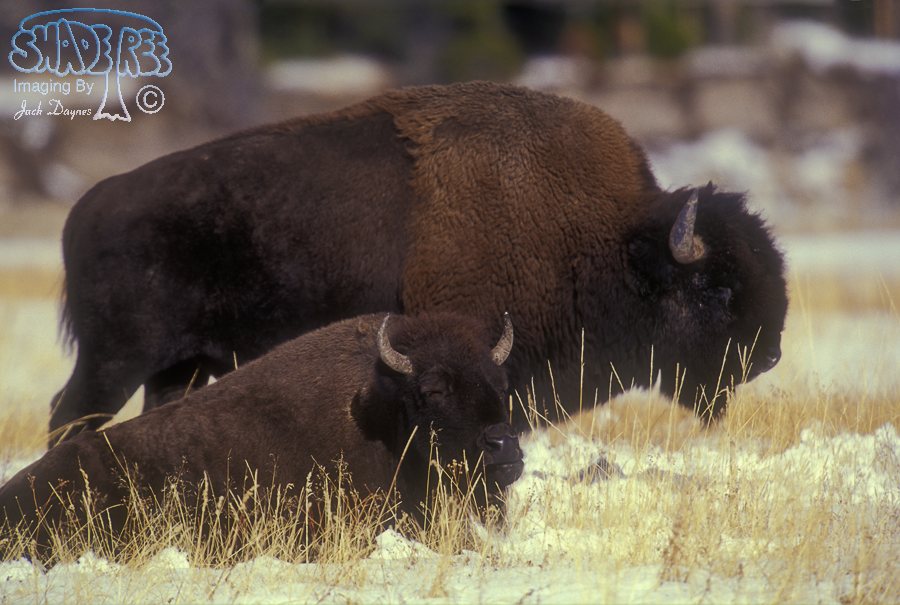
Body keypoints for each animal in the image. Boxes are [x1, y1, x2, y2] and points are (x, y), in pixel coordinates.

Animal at [50, 81, 787, 441]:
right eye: (715, 287)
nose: (771, 352)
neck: (611, 241)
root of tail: (86, 207)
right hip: (115, 361)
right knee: (69, 415)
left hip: (180, 366)